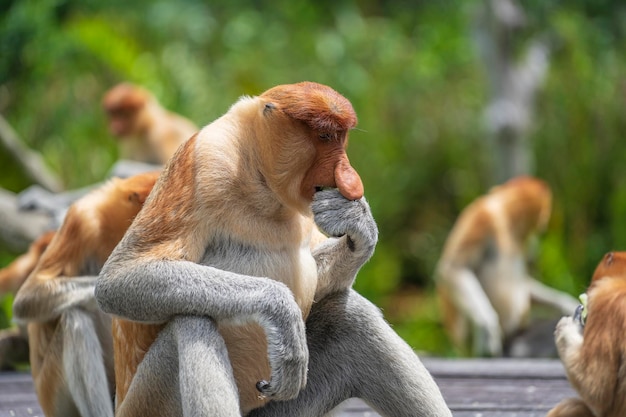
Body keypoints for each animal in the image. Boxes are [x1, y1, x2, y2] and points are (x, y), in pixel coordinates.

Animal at [95, 82, 450, 416]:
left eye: (342, 138)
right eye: (324, 136)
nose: (350, 178)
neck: (258, 177)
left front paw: (357, 224)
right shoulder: (203, 163)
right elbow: (119, 280)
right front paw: (281, 312)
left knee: (350, 317)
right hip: (149, 401)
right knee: (192, 321)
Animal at [434, 176, 576, 358]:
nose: (544, 222)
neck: (507, 219)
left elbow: (525, 283)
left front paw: (566, 303)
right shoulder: (482, 217)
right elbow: (454, 268)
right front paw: (487, 327)